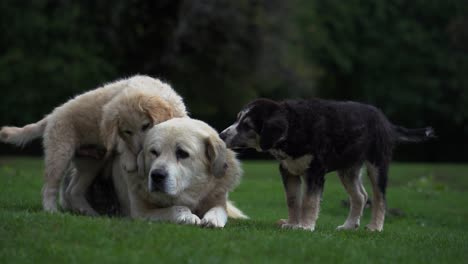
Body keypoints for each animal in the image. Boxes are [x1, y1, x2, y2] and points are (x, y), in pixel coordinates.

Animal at [61, 117, 249, 227]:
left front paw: (212, 219)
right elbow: (176, 208)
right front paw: (188, 216)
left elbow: (218, 210)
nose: (157, 175)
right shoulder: (141, 213)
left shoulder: (217, 199)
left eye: (182, 153)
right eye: (153, 152)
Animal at [220, 98, 436, 231]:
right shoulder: (288, 170)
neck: (294, 128)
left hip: (377, 164)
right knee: (360, 196)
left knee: (379, 198)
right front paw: (292, 223)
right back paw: (349, 226)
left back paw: (375, 227)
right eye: (237, 119)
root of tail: (387, 123)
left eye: (247, 125)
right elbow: (293, 200)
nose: (222, 135)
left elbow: (309, 201)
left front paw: (305, 226)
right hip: (348, 169)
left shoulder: (315, 171)